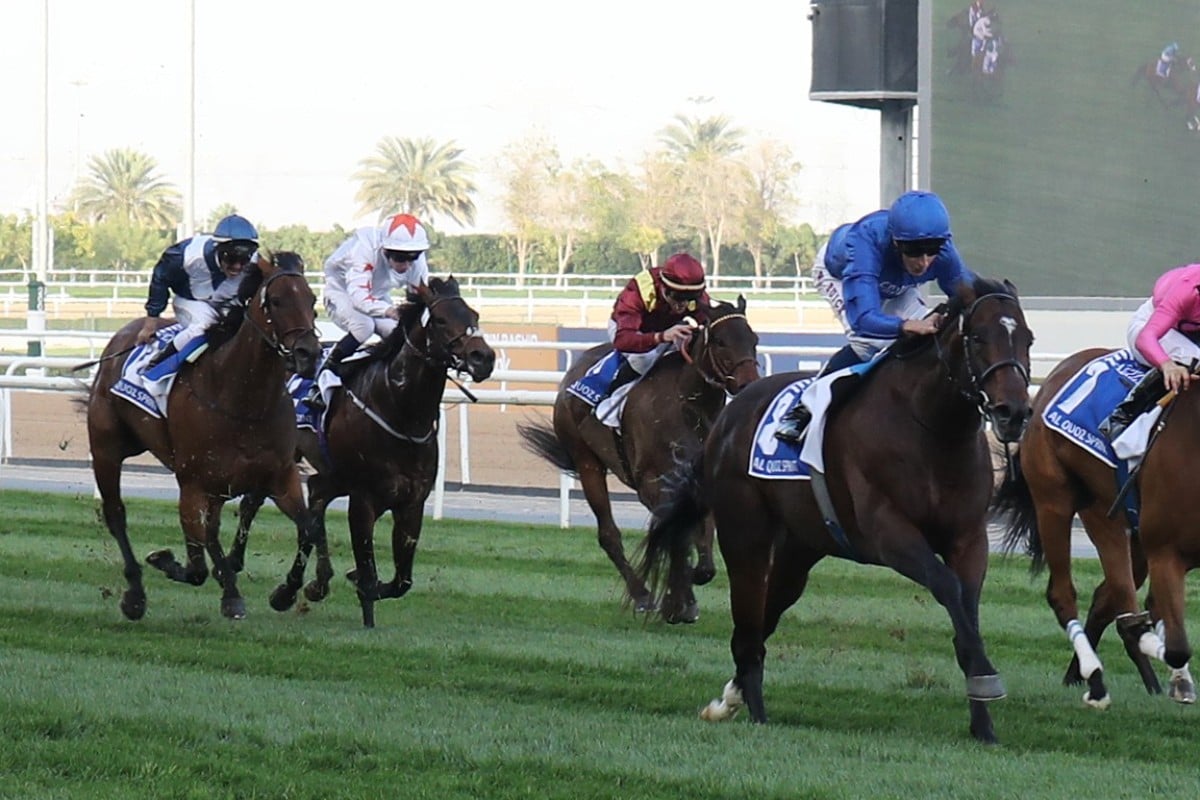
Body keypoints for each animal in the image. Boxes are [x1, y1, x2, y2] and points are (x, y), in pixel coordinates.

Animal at [84, 250, 324, 618]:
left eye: (312, 300)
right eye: (277, 301)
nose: (308, 354)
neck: (244, 401)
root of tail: (123, 334)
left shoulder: (280, 477)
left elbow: (308, 527)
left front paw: (291, 590)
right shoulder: (193, 482)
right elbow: (197, 562)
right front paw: (174, 564)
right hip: (107, 449)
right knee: (116, 514)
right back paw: (135, 593)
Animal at [231, 278, 494, 628]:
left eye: (473, 314)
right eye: (440, 320)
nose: (483, 357)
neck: (400, 412)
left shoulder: (411, 502)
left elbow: (401, 581)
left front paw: (352, 583)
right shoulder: (363, 498)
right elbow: (368, 569)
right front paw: (363, 596)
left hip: (328, 476)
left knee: (313, 510)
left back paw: (305, 585)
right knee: (254, 504)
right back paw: (240, 564)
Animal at [516, 297, 758, 623]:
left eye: (754, 340)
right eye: (720, 341)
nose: (749, 385)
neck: (688, 405)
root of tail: (574, 370)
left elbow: (700, 535)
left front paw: (691, 584)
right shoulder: (652, 485)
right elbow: (675, 535)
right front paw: (676, 602)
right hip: (587, 461)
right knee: (608, 534)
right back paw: (643, 595)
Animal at [638, 278, 1032, 743]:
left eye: (1027, 339)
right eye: (978, 338)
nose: (1014, 412)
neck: (931, 428)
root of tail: (728, 417)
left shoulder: (968, 537)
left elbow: (966, 608)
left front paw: (982, 720)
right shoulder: (888, 533)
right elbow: (948, 588)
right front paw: (986, 677)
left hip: (800, 546)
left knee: (767, 614)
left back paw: (731, 698)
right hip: (745, 534)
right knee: (748, 622)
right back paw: (753, 710)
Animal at [988, 347, 1195, 705]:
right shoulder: (1166, 550)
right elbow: (1176, 645)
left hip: (1121, 525)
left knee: (1111, 596)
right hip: (1061, 504)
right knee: (1072, 595)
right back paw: (1096, 677)